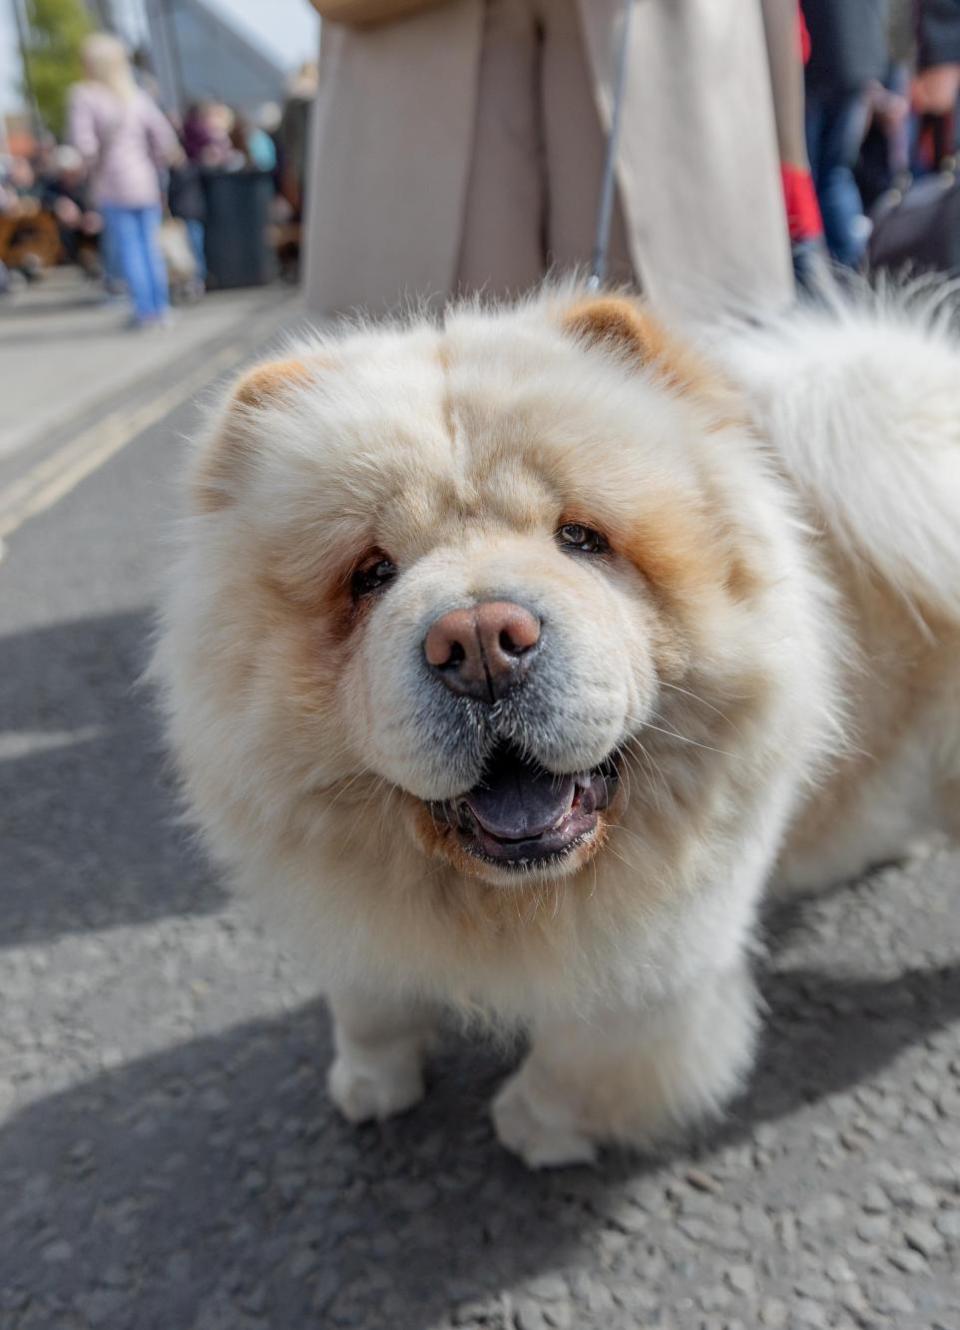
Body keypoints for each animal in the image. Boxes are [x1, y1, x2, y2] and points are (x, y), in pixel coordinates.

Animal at [153, 288, 957, 1165]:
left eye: (580, 538)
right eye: (369, 575)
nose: (479, 643)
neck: (502, 901)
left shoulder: (654, 964)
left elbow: (588, 1055)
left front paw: (536, 1126)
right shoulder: (352, 912)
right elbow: (369, 1003)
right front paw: (370, 1083)